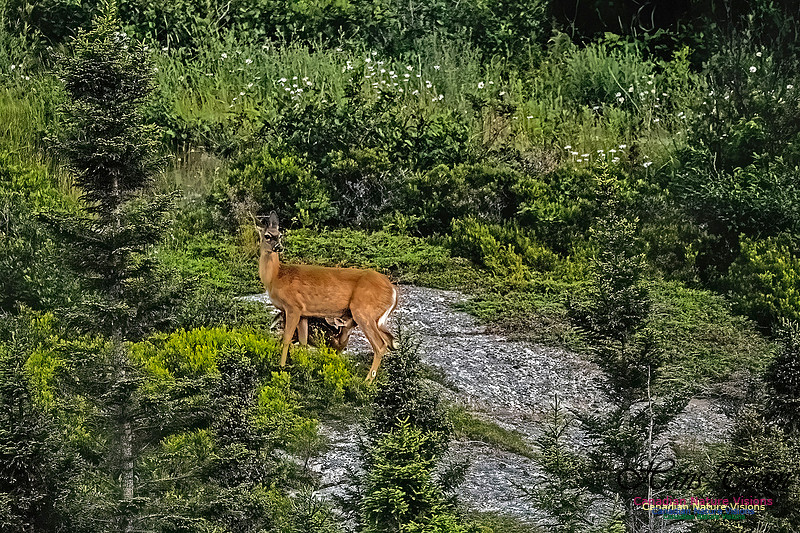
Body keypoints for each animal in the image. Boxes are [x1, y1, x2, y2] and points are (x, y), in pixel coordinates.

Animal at [255, 212, 398, 380]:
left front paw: (281, 369)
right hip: (378, 319)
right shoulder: (304, 313)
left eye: (280, 235)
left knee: (380, 345)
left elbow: (286, 339)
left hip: (364, 312)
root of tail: (393, 291)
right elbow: (303, 341)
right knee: (391, 342)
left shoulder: (293, 306)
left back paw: (366, 382)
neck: (276, 277)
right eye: (268, 236)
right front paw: (303, 368)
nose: (279, 247)